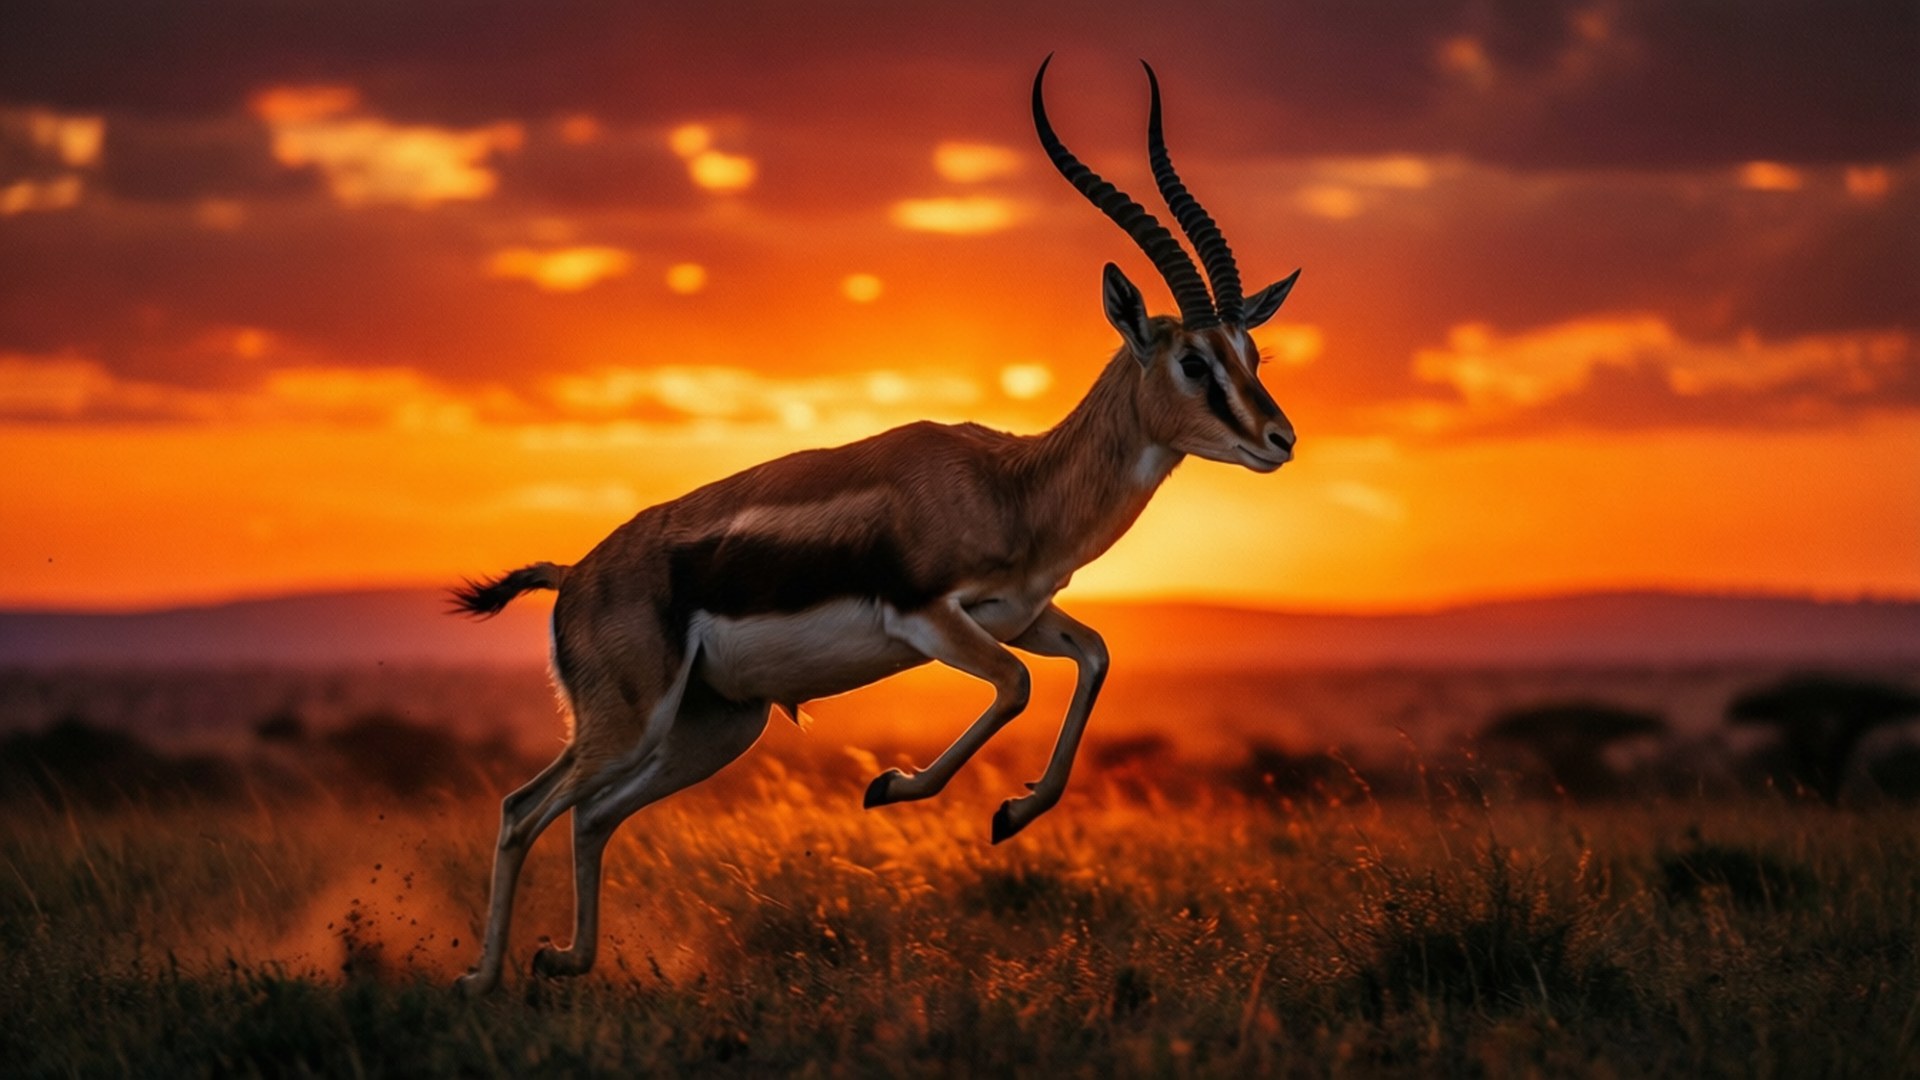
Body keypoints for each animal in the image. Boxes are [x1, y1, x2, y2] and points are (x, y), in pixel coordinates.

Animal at [450, 57, 1302, 995]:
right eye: (1192, 360)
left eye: (1250, 354)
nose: (1279, 439)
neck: (1013, 486)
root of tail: (575, 576)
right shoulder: (929, 620)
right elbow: (1017, 686)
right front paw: (893, 788)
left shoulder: (1023, 614)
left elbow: (1096, 658)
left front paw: (1011, 813)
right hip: (631, 723)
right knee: (523, 808)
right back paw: (482, 979)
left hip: (714, 727)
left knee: (593, 816)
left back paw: (563, 959)